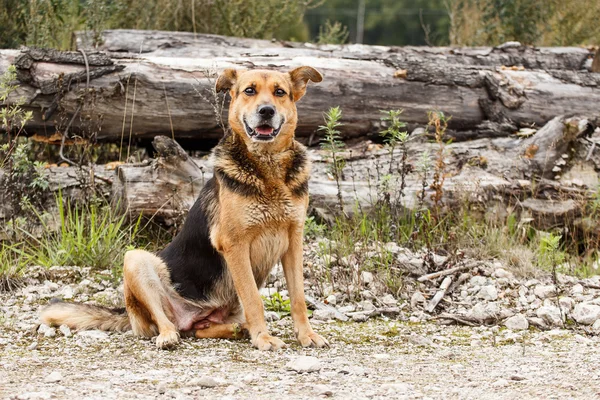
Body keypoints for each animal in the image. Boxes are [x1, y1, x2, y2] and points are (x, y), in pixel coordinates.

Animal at [40, 65, 330, 350]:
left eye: (280, 92)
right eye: (250, 91)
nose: (266, 111)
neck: (268, 167)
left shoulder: (293, 241)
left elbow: (298, 297)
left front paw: (306, 335)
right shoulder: (235, 243)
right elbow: (253, 299)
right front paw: (263, 338)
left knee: (199, 330)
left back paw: (235, 329)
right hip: (135, 260)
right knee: (167, 322)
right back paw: (170, 336)